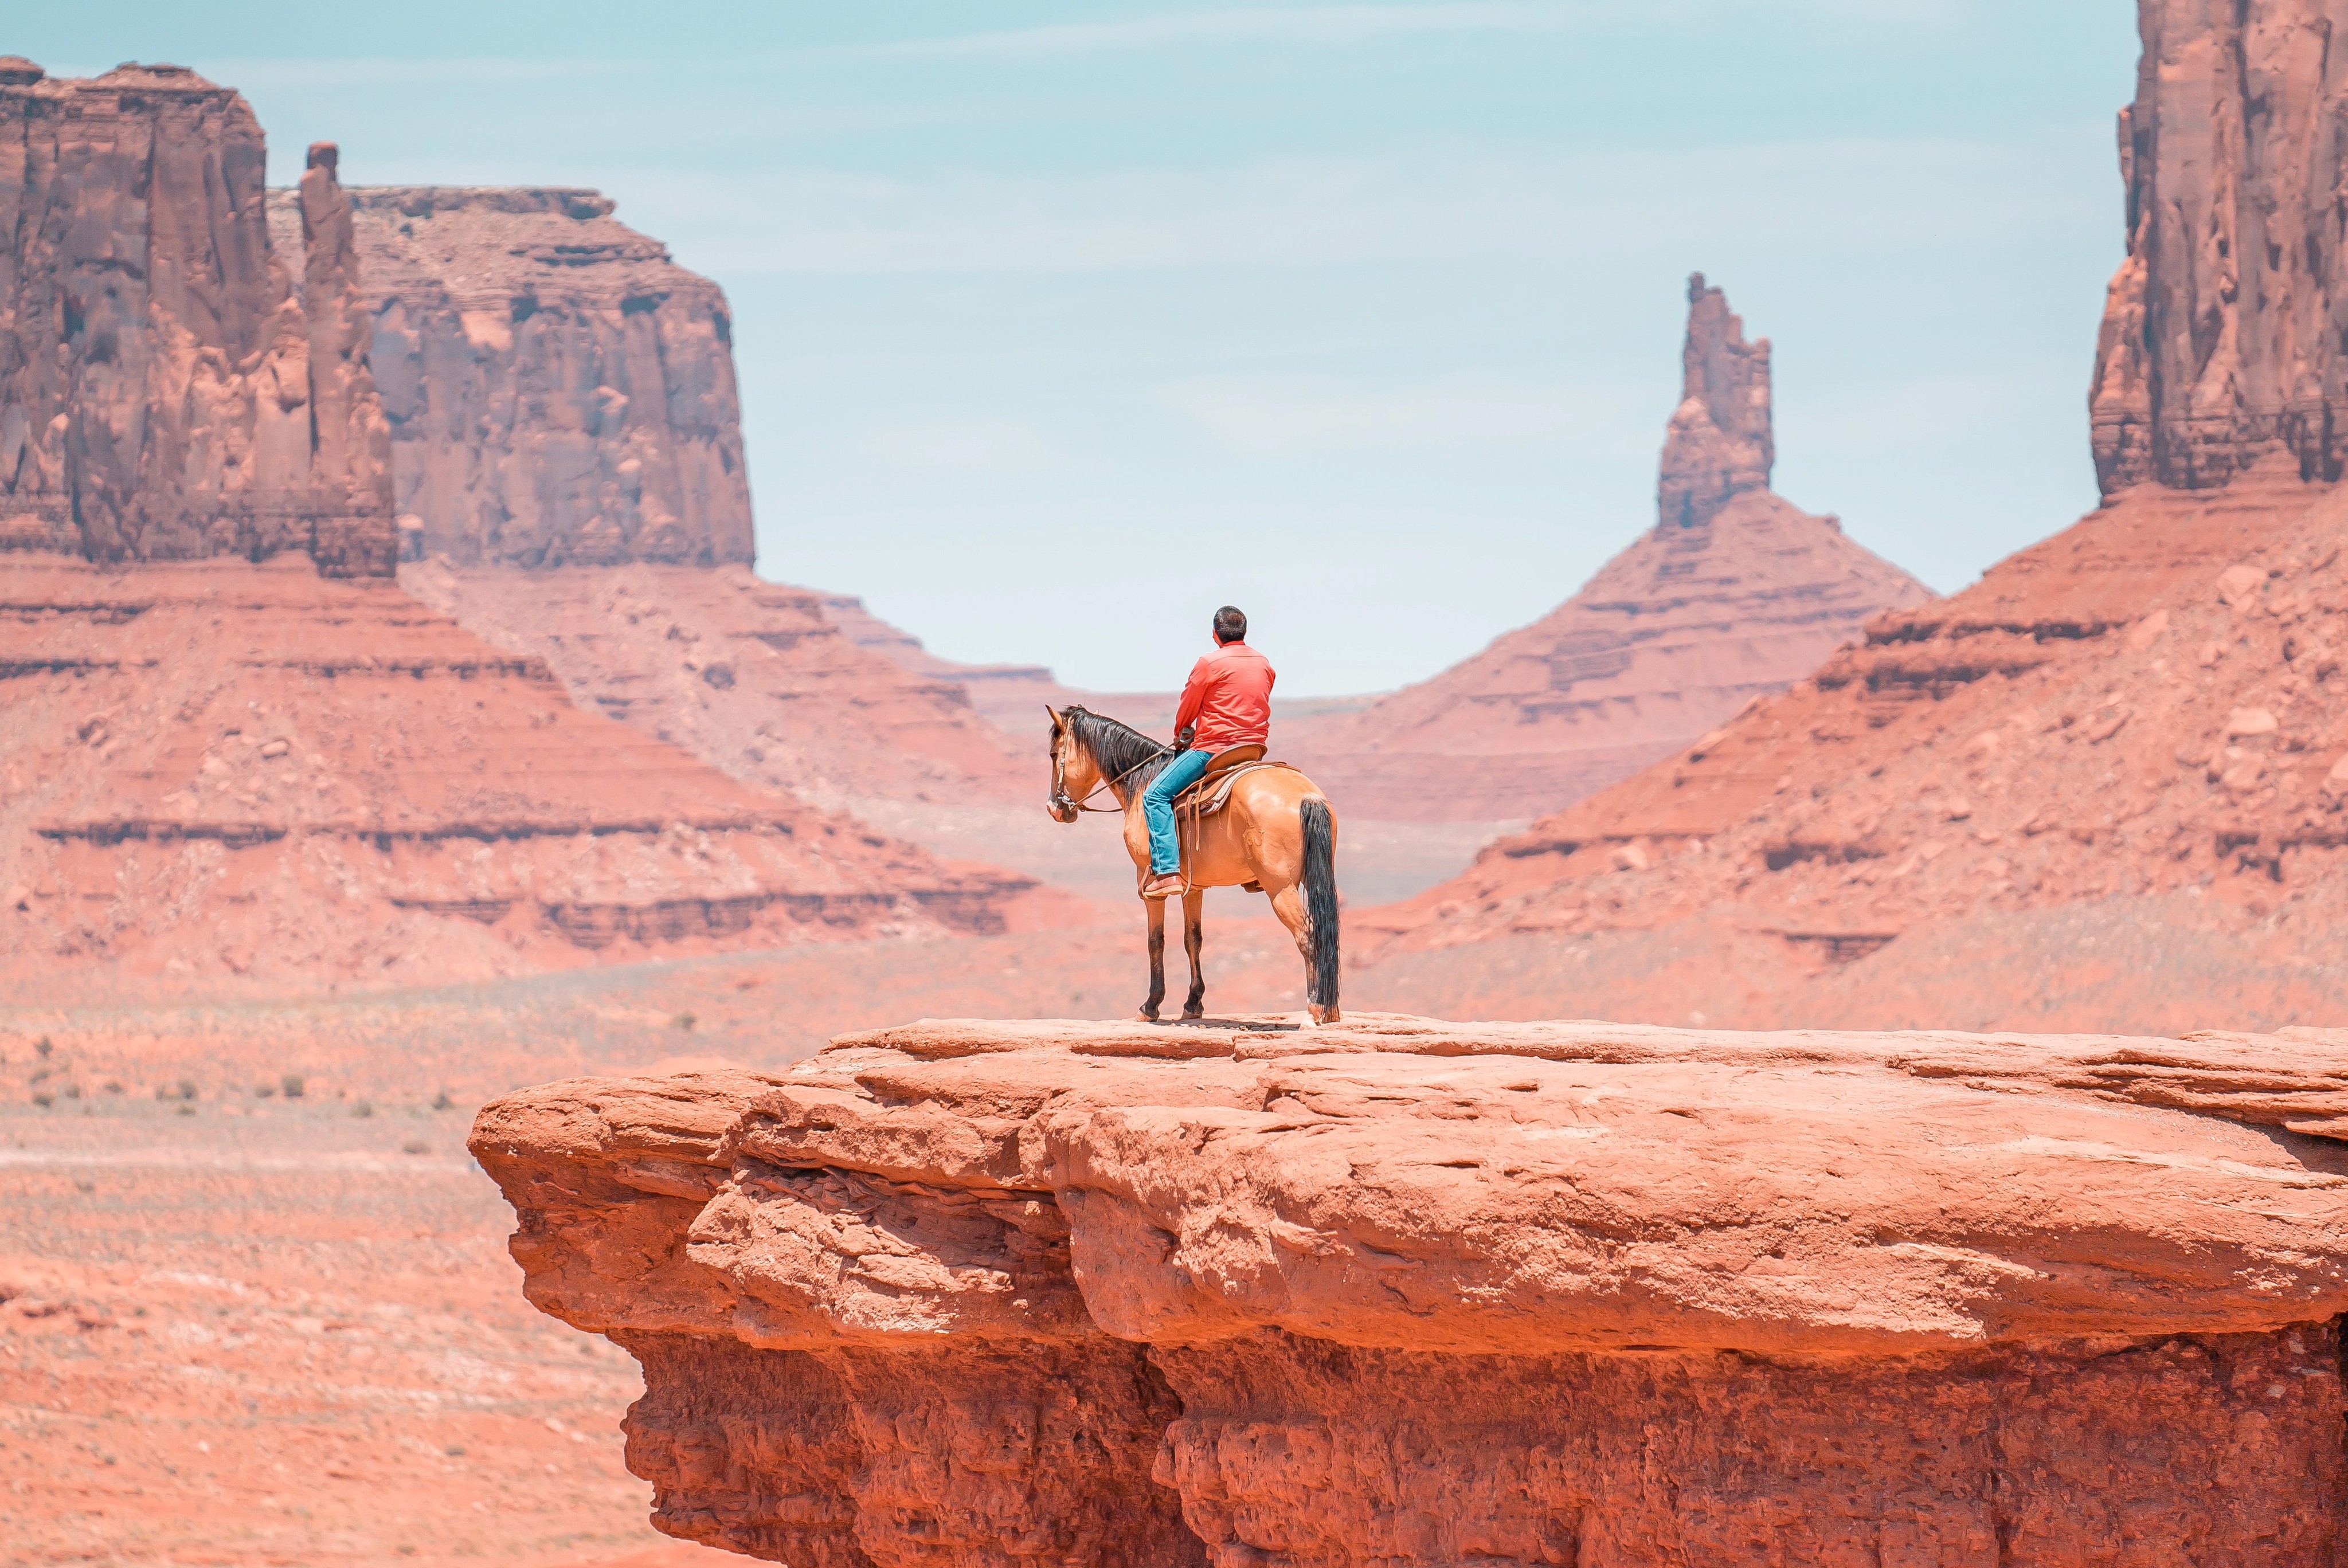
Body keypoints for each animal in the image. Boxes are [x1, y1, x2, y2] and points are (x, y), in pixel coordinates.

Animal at [1047, 708, 1343, 1028]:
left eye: (1054, 754)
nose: (1054, 808)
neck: (1141, 783)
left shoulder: (1148, 885)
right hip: (1314, 878)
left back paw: (1315, 1010)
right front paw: (1193, 1003)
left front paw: (1150, 1006)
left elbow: (1155, 941)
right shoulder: (1194, 887)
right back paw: (1331, 1011)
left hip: (1281, 889)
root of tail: (1306, 797)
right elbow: (1193, 939)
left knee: (1308, 937)